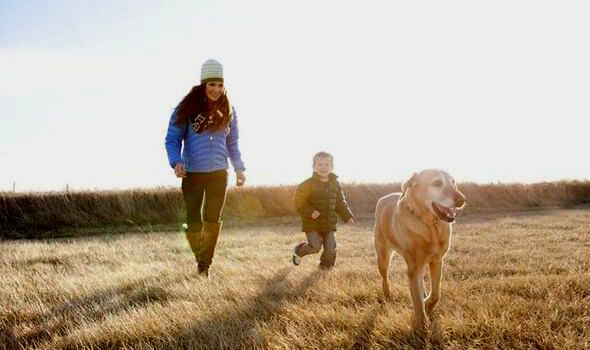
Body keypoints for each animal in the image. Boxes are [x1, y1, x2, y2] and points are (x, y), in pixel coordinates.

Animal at [374, 169, 468, 328]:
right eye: (437, 183)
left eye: (453, 182)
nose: (462, 199)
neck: (430, 225)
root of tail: (384, 197)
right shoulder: (413, 268)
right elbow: (417, 301)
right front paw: (422, 325)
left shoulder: (437, 261)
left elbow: (436, 294)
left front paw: (428, 304)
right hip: (383, 256)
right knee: (385, 277)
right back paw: (388, 295)